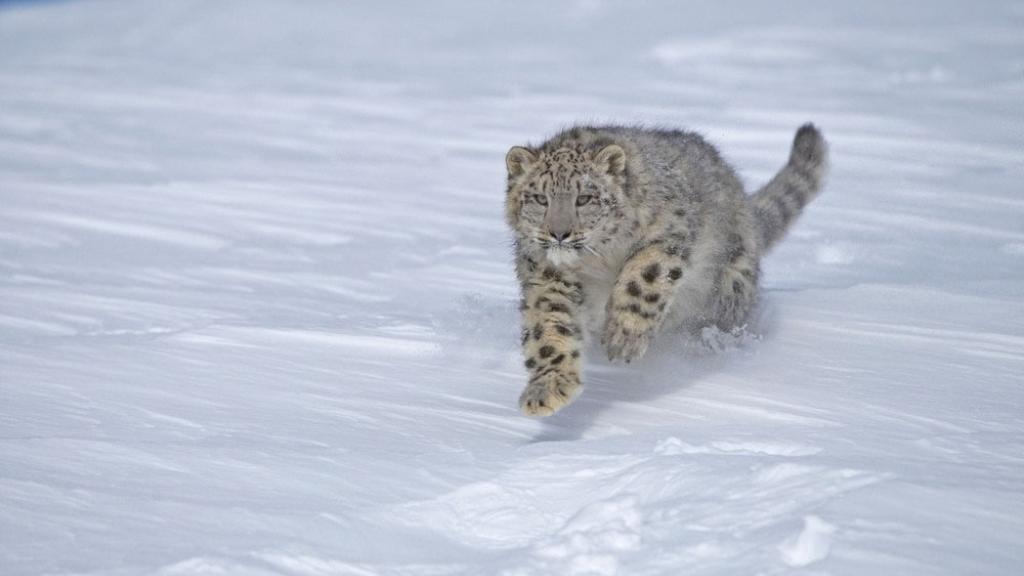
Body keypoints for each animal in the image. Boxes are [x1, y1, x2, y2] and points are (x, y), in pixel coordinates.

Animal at [504, 123, 829, 416]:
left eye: (584, 198)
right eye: (540, 198)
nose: (559, 234)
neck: (597, 261)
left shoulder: (666, 235)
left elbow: (642, 280)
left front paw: (623, 338)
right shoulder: (547, 276)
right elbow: (549, 327)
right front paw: (546, 391)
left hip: (730, 287)